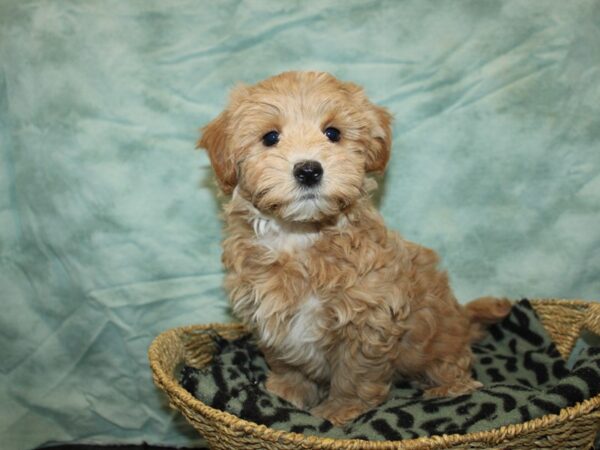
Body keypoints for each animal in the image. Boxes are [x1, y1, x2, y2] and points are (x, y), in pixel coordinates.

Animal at [198, 70, 510, 426]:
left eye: (333, 133)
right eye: (270, 137)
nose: (309, 170)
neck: (300, 235)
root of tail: (463, 318)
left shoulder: (368, 320)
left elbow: (354, 373)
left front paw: (341, 410)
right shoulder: (270, 313)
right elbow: (287, 362)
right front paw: (287, 394)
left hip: (439, 337)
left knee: (453, 366)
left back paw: (447, 388)